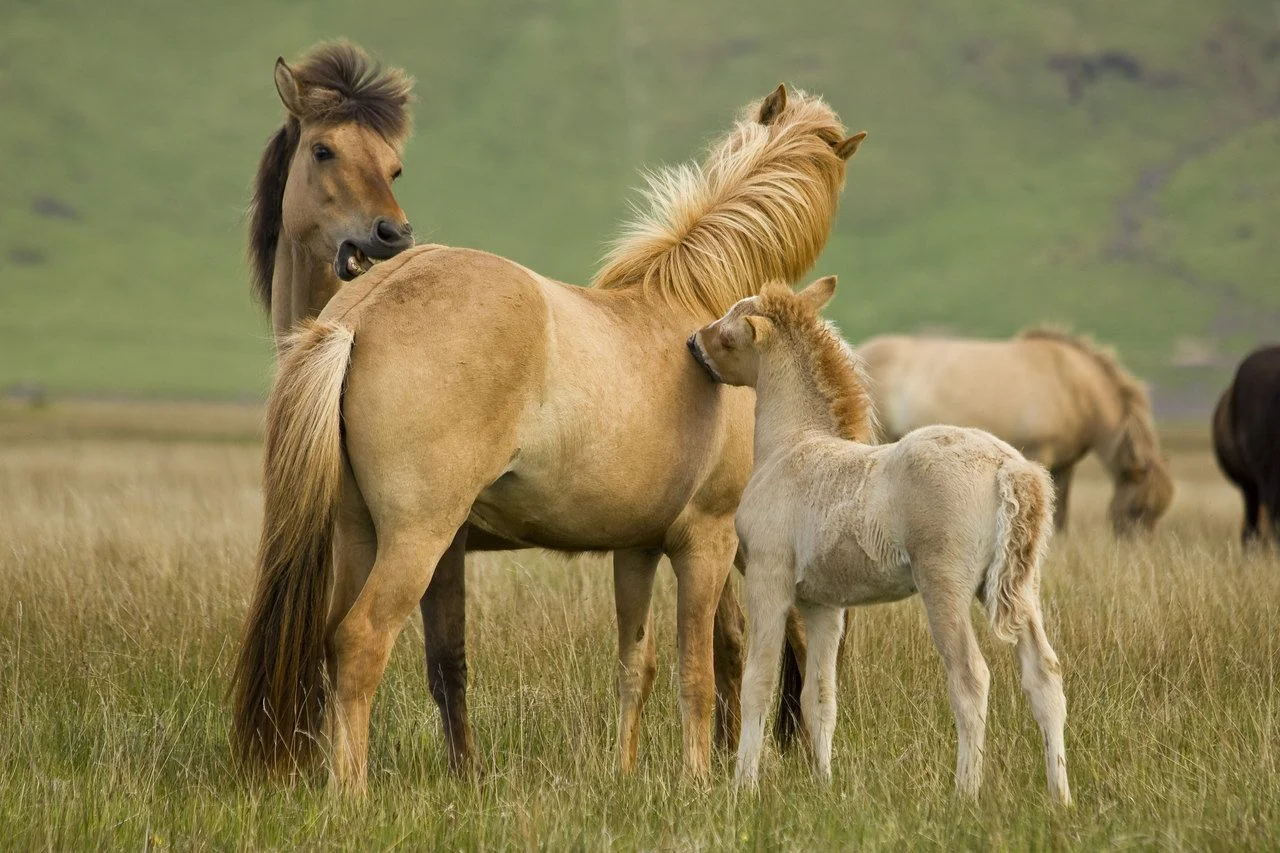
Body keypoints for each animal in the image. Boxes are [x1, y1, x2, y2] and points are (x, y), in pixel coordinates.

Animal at [230, 82, 867, 790]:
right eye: (323, 152)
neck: (701, 301)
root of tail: (362, 312)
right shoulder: (707, 540)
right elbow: (700, 670)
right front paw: (700, 782)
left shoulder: (637, 547)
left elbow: (637, 666)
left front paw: (625, 775)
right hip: (418, 537)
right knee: (360, 641)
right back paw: (351, 793)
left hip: (357, 532)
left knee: (330, 640)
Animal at [688, 278, 1071, 804]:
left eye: (728, 333)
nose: (694, 343)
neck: (791, 446)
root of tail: (1007, 467)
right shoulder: (823, 604)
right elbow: (820, 696)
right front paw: (824, 785)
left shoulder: (769, 579)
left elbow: (758, 684)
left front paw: (744, 786)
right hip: (1019, 588)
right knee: (1045, 678)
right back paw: (1060, 797)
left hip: (944, 586)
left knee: (971, 677)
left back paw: (964, 794)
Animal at [856, 328, 1174, 534]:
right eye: (1136, 509)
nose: (1133, 553)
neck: (1071, 385)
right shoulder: (1039, 456)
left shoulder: (1065, 466)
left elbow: (1061, 516)